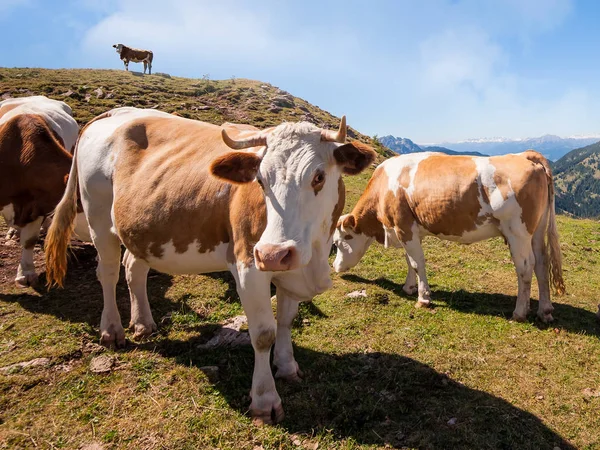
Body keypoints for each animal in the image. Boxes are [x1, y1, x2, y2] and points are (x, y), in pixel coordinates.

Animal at [44, 107, 376, 424]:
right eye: (260, 180)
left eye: (318, 177)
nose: (271, 254)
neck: (314, 256)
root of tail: (111, 114)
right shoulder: (248, 264)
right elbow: (263, 333)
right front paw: (264, 400)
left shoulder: (291, 265)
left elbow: (285, 321)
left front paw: (287, 366)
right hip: (98, 217)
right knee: (109, 272)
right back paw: (112, 331)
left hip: (142, 229)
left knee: (133, 269)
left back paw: (143, 324)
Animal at [336, 151, 564, 324]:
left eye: (340, 241)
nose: (336, 267)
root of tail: (525, 155)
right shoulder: (409, 231)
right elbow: (410, 261)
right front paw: (409, 287)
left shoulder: (404, 227)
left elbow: (417, 263)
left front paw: (423, 298)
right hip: (536, 230)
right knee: (542, 263)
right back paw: (545, 311)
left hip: (517, 231)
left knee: (525, 267)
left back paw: (519, 313)